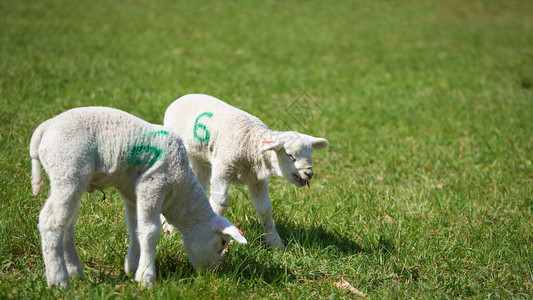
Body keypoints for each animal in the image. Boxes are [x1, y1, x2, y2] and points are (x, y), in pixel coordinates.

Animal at [31, 106, 249, 288]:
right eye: (222, 243)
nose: (210, 274)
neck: (180, 194)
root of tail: (45, 128)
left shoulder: (133, 195)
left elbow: (135, 227)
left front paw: (132, 268)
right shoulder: (153, 185)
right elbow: (151, 231)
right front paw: (146, 277)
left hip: (71, 178)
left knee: (67, 223)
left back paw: (75, 273)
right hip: (68, 168)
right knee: (51, 221)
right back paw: (58, 280)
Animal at [162, 95, 328, 250]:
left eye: (310, 154)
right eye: (290, 155)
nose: (309, 173)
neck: (250, 144)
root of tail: (182, 98)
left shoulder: (257, 180)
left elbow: (265, 209)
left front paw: (276, 245)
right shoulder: (223, 168)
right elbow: (220, 203)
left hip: (200, 156)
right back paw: (167, 227)